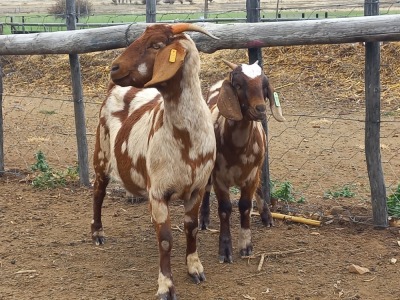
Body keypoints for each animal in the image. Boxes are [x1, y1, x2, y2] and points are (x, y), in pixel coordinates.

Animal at [92, 24, 219, 300]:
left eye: (156, 45)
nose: (114, 67)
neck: (186, 138)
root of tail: (113, 88)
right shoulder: (159, 192)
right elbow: (165, 239)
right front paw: (166, 286)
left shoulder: (197, 189)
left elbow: (192, 228)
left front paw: (195, 269)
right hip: (101, 153)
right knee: (98, 193)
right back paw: (97, 233)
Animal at [198, 60, 284, 262]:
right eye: (238, 85)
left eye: (264, 86)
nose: (260, 110)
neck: (238, 148)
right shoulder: (219, 177)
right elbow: (224, 209)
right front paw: (225, 249)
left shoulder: (251, 175)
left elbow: (245, 206)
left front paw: (245, 245)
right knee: (206, 187)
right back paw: (203, 219)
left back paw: (266, 215)